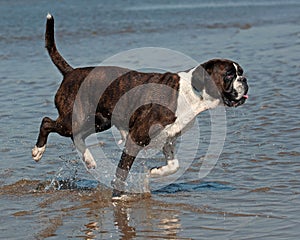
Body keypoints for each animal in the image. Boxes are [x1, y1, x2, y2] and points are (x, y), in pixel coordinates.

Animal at [32, 15, 248, 199]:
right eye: (229, 75)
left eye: (240, 72)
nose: (244, 79)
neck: (192, 93)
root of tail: (71, 73)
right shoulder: (135, 139)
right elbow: (122, 170)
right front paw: (118, 196)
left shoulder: (167, 139)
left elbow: (174, 165)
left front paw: (154, 172)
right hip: (74, 119)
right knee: (47, 122)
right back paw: (38, 151)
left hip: (99, 121)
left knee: (77, 136)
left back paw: (88, 159)